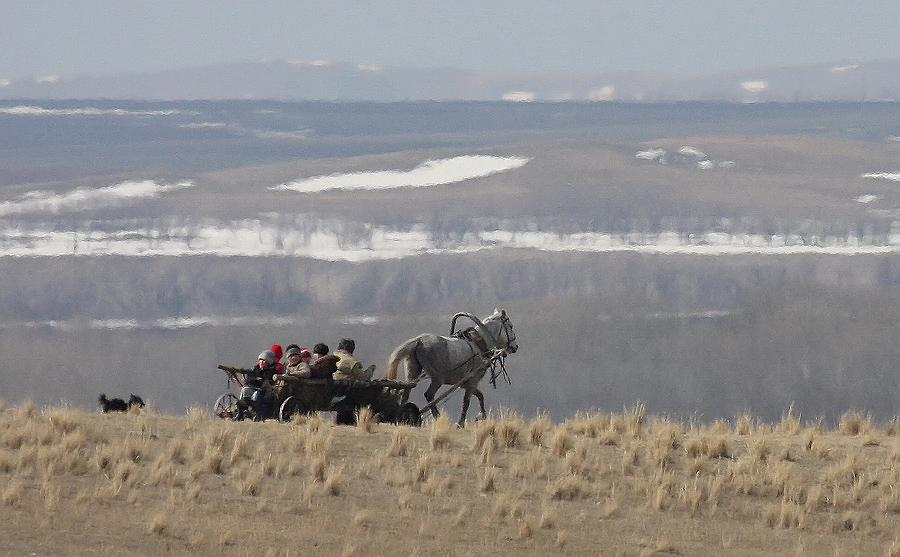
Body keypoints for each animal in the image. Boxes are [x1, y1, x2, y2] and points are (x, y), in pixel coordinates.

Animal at [384, 308, 516, 426]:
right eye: (510, 326)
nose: (515, 347)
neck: (479, 345)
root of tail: (419, 340)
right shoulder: (472, 380)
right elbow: (467, 401)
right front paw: (461, 423)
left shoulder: (465, 383)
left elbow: (480, 395)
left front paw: (481, 416)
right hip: (438, 378)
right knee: (429, 395)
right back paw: (437, 417)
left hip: (413, 372)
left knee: (406, 392)